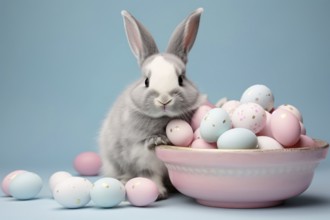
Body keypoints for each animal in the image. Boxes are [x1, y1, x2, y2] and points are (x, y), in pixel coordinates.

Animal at [98, 7, 206, 199]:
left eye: (181, 79)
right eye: (146, 81)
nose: (164, 99)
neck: (162, 120)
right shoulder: (141, 156)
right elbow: (149, 175)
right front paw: (159, 192)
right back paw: (125, 180)